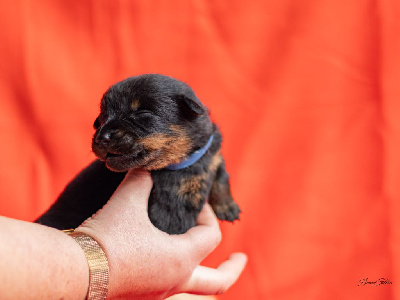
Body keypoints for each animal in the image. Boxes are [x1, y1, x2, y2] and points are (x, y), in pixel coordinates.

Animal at [36, 74, 239, 233]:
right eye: (100, 118)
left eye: (141, 113)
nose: (101, 138)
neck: (184, 160)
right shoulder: (169, 202)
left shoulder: (212, 152)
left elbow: (222, 175)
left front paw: (227, 207)